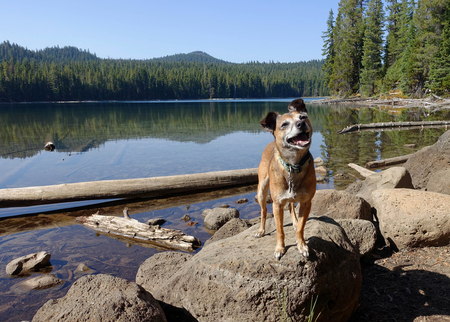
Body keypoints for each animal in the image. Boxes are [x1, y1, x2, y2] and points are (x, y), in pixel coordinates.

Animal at [256, 98, 316, 260]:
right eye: (284, 124)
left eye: (303, 117)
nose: (301, 124)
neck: (293, 166)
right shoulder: (277, 205)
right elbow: (279, 230)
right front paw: (280, 248)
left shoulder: (306, 202)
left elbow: (301, 227)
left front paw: (302, 245)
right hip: (262, 190)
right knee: (263, 211)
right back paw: (261, 230)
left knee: (291, 206)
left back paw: (294, 222)